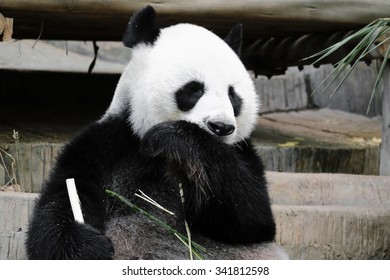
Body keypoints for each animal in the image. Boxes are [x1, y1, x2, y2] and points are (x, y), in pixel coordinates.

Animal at [24, 6, 286, 260]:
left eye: (233, 95)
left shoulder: (241, 152)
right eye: (194, 89)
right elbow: (59, 206)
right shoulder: (105, 144)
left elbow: (252, 219)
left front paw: (177, 138)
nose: (221, 127)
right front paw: (89, 247)